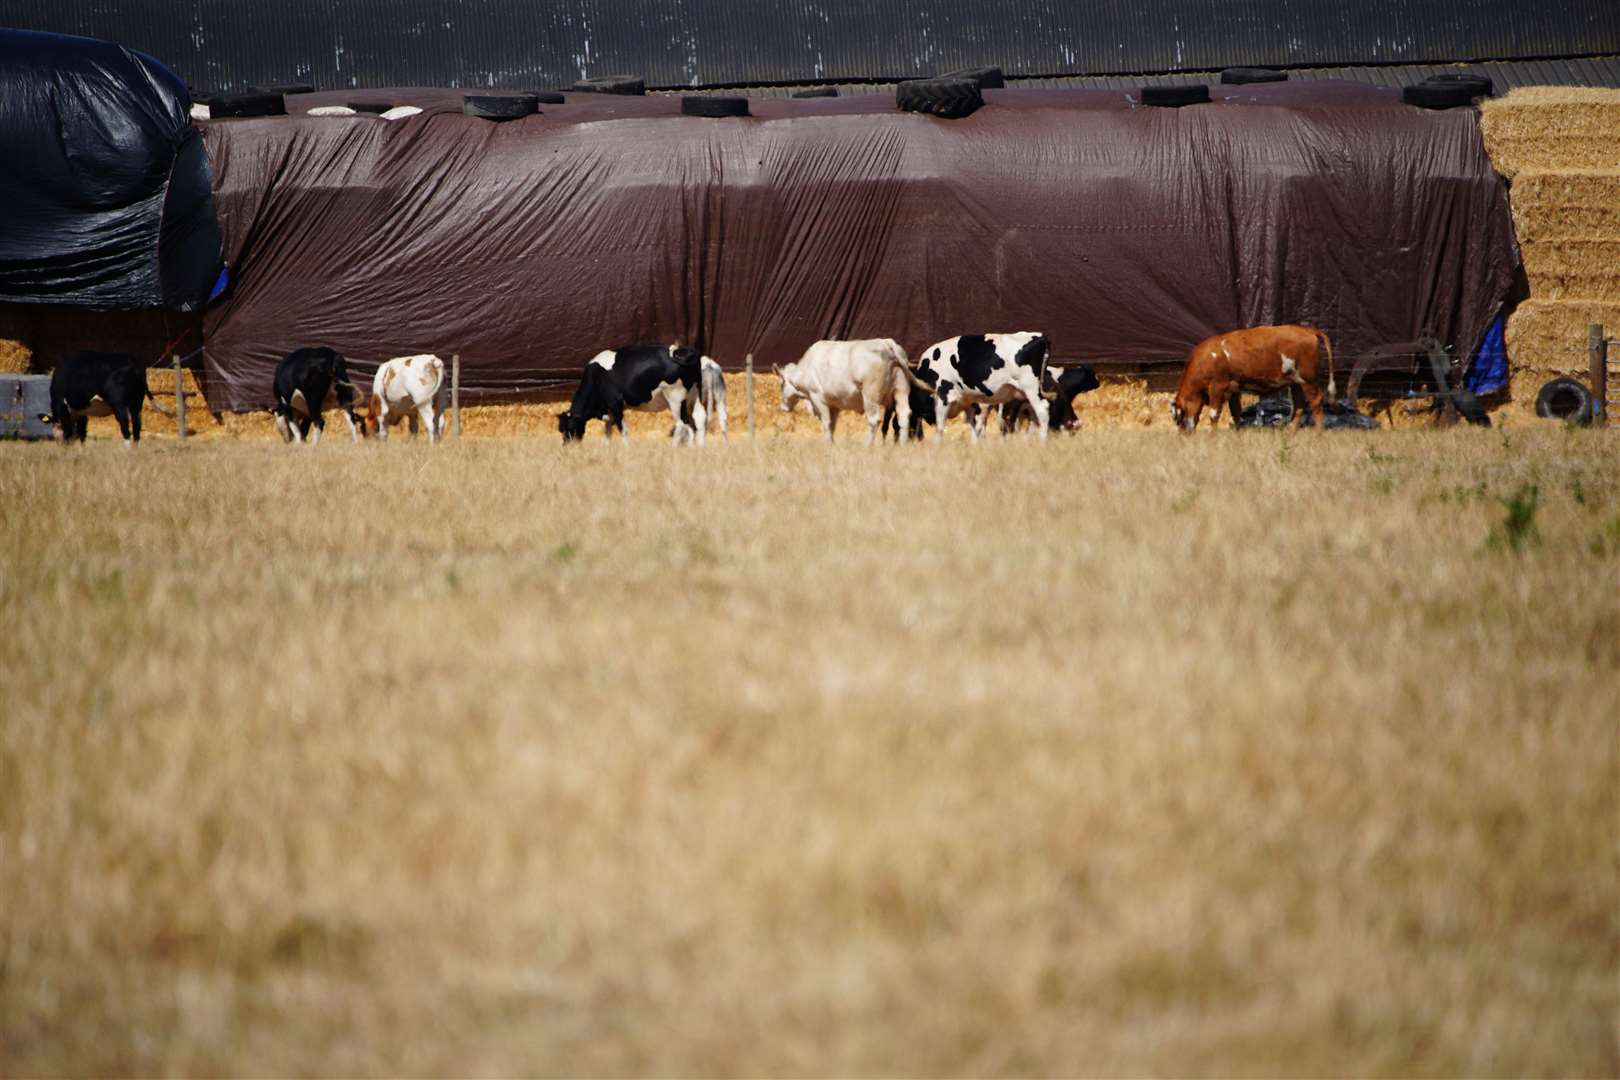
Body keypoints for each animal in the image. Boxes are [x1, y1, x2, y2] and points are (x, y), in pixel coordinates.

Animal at [38, 351, 174, 443]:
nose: (59, 442)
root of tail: (131, 360)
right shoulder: (82, 411)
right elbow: (82, 432)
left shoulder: (63, 406)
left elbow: (71, 430)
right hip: (137, 402)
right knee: (136, 427)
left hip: (119, 404)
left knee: (125, 427)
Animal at [560, 344, 706, 440]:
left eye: (570, 429)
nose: (567, 447)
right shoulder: (610, 411)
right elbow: (607, 434)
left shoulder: (615, 404)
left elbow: (623, 430)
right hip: (694, 397)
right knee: (697, 422)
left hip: (676, 400)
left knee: (684, 426)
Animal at [774, 335, 926, 440]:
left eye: (781, 384)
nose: (783, 407)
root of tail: (887, 344)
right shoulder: (834, 405)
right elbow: (832, 425)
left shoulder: (818, 398)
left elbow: (826, 423)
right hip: (901, 389)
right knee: (904, 415)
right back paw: (902, 444)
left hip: (870, 396)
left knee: (874, 420)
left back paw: (867, 445)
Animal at [907, 333, 1056, 443]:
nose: (915, 438)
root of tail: (1039, 336)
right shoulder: (969, 401)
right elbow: (975, 426)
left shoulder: (944, 394)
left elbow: (940, 426)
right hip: (1028, 393)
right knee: (1035, 415)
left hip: (1030, 387)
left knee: (1042, 410)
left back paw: (1043, 442)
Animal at [1172, 323, 1334, 433]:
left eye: (1180, 416)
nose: (1183, 435)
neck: (1206, 359)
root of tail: (1306, 329)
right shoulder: (1234, 390)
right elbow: (1236, 413)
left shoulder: (1217, 387)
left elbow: (1213, 414)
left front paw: (1212, 436)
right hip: (1296, 382)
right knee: (1299, 405)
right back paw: (1291, 431)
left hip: (1308, 379)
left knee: (1316, 401)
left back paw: (1317, 433)